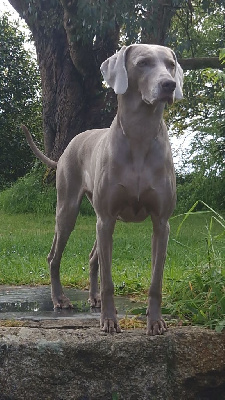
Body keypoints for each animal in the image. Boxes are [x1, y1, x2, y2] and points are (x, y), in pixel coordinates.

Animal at [21, 43, 183, 334]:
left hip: (100, 220)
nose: (169, 85)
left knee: (92, 256)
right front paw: (109, 321)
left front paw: (155, 322)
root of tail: (64, 152)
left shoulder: (161, 222)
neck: (140, 135)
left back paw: (93, 298)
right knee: (54, 256)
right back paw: (60, 299)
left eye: (171, 64)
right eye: (143, 63)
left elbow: (156, 280)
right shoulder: (106, 217)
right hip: (69, 210)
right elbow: (109, 280)